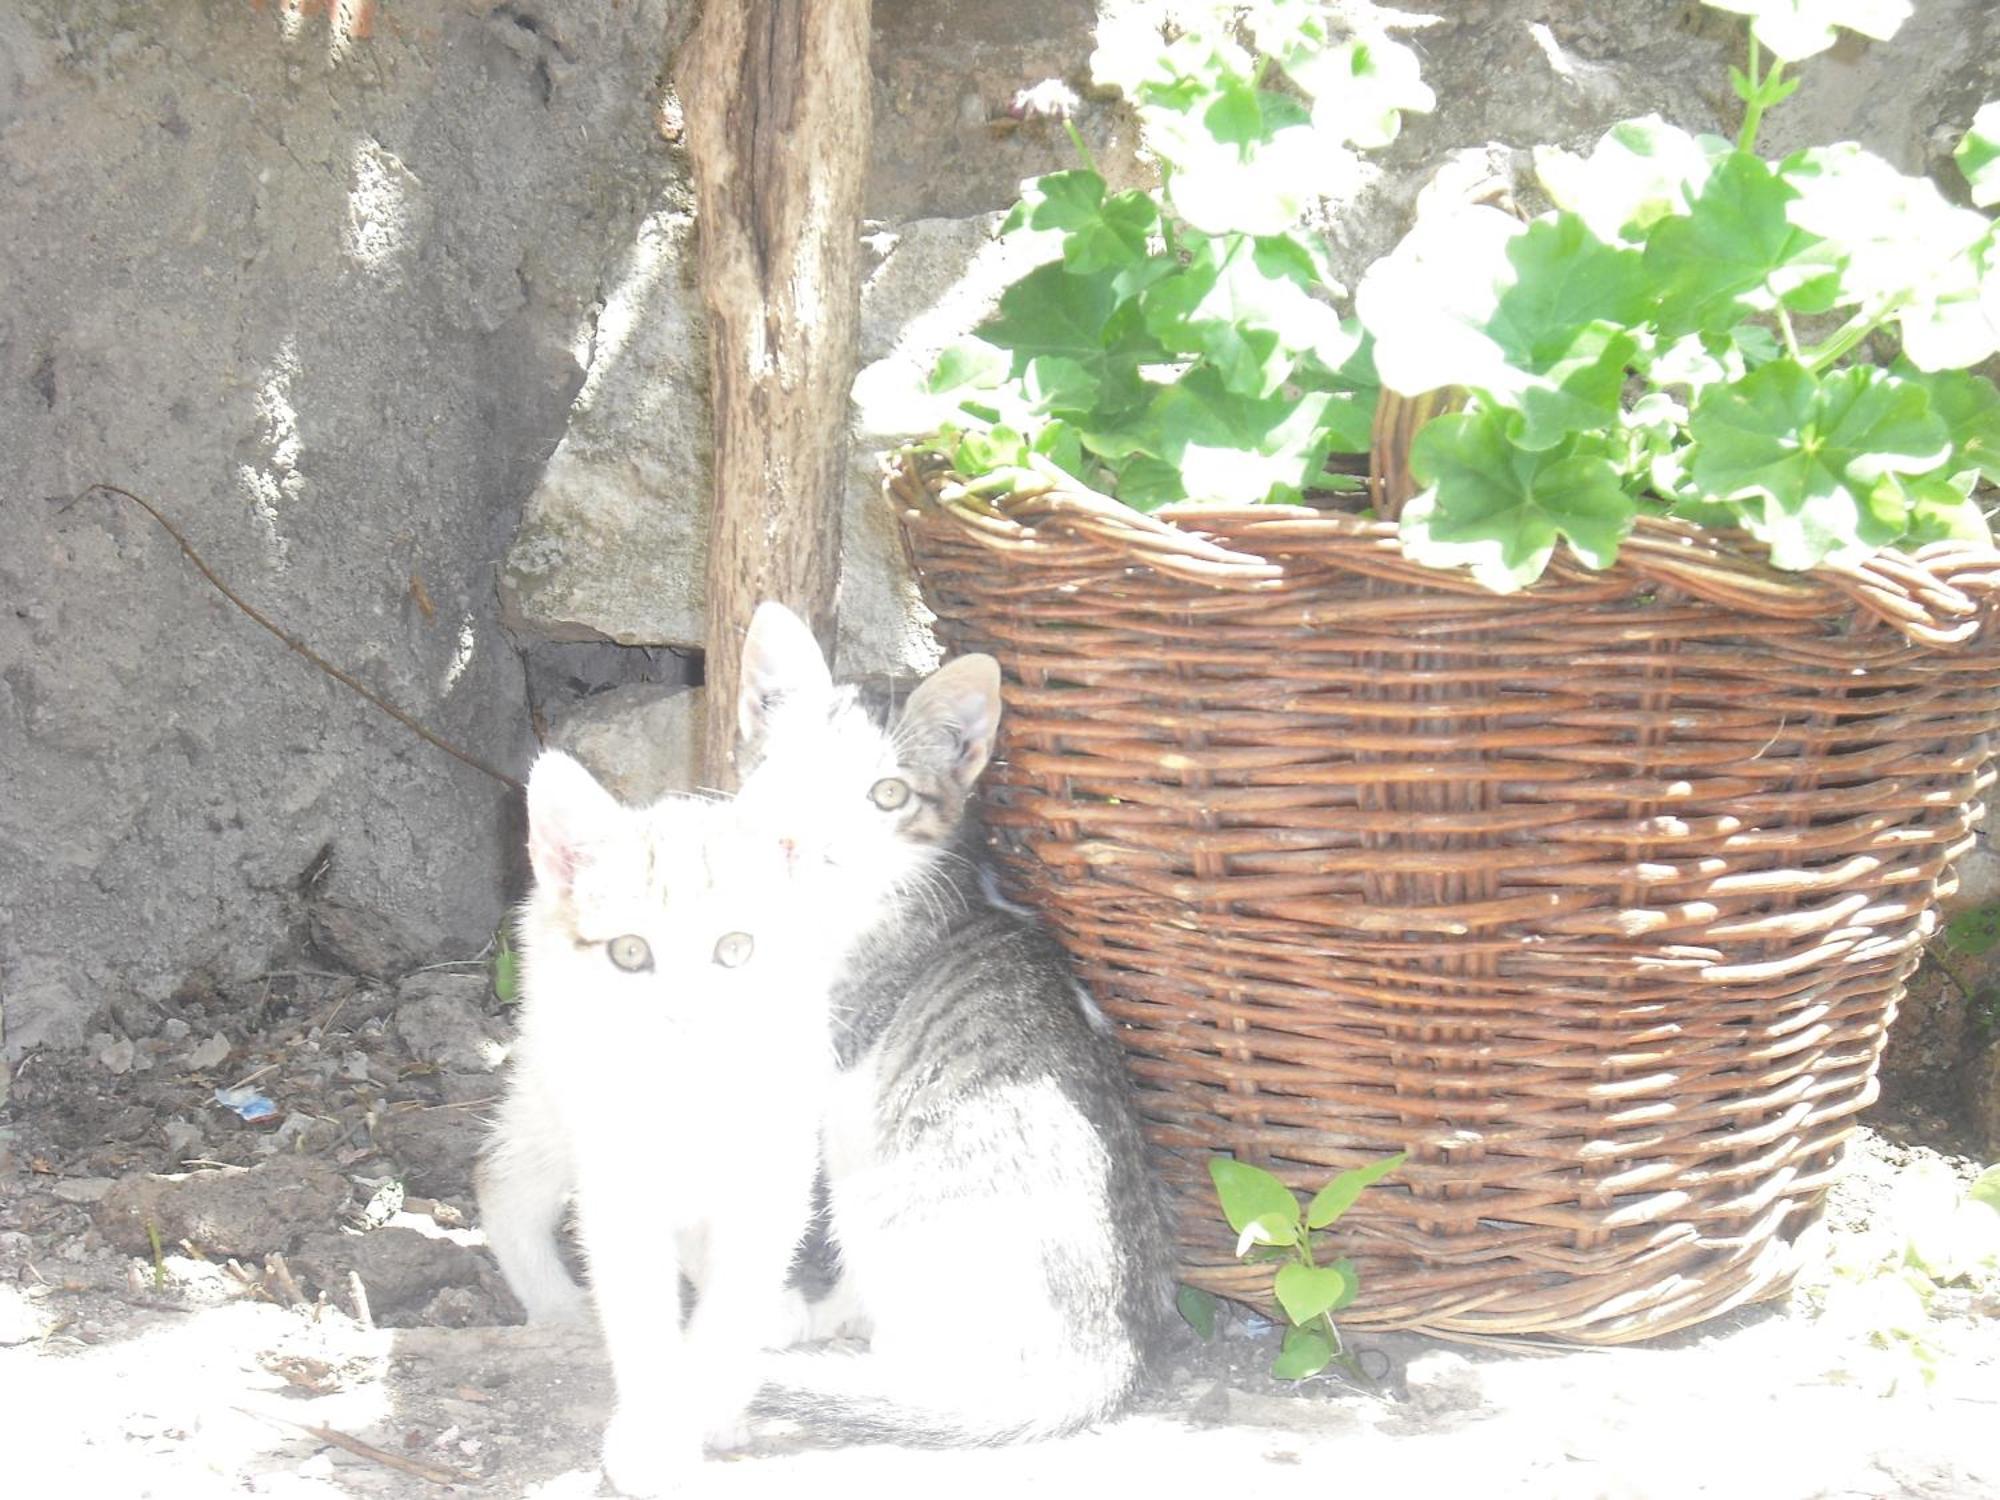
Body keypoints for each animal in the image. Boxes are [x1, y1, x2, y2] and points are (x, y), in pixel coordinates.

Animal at [480, 756, 840, 1496]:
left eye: (734, 948)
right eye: (628, 953)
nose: (683, 1014)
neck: (688, 1091)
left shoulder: (773, 1168)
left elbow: (731, 1302)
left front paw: (709, 1398)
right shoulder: (619, 1186)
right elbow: (641, 1314)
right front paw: (655, 1434)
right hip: (555, 1072)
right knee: (499, 1181)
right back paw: (557, 1305)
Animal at [732, 604, 1168, 1448]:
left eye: (887, 794)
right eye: (791, 772)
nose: (810, 842)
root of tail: (1114, 1352)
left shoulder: (829, 1064)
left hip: (897, 1201)